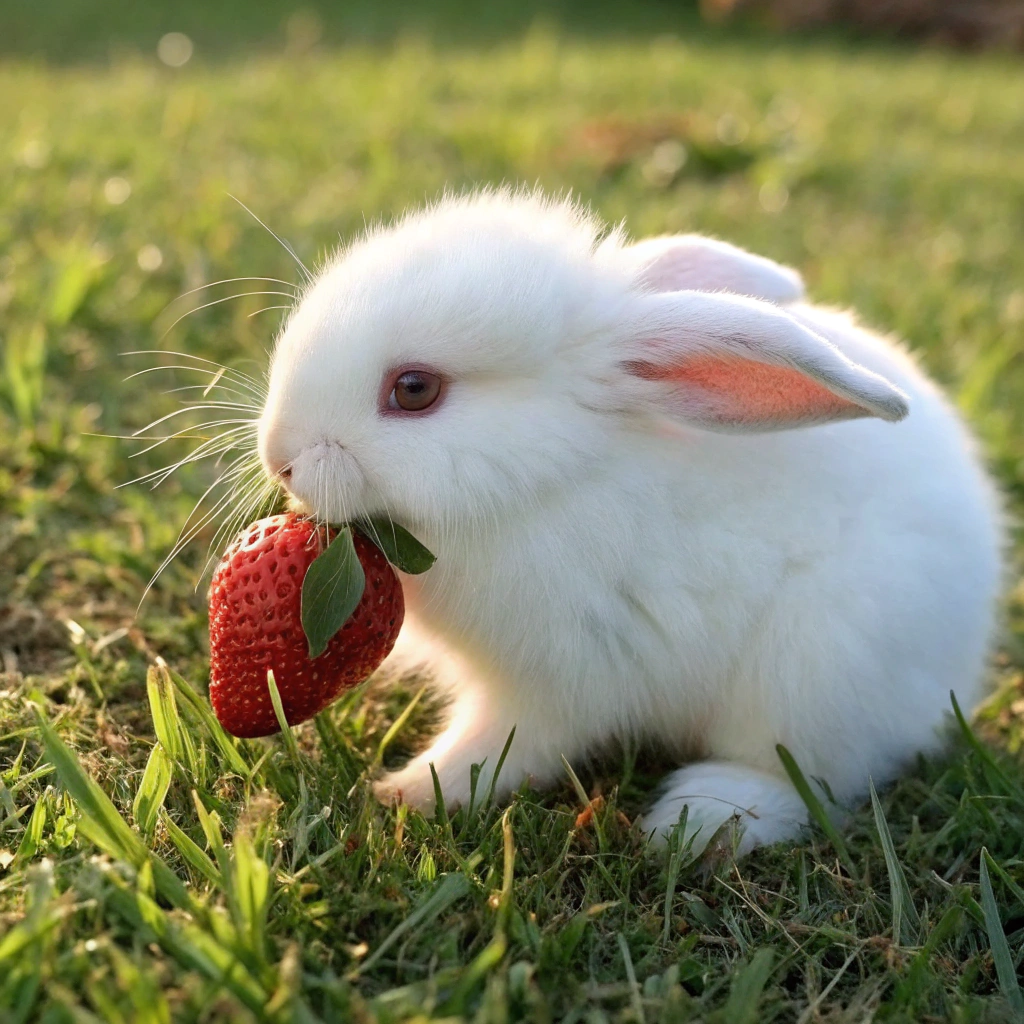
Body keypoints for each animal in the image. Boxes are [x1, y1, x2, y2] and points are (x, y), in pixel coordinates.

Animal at [257, 189, 1003, 855]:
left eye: (414, 391)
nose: (279, 457)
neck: (555, 472)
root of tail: (960, 661)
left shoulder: (554, 682)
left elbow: (504, 746)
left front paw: (409, 791)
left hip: (815, 674)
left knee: (809, 777)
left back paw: (700, 820)